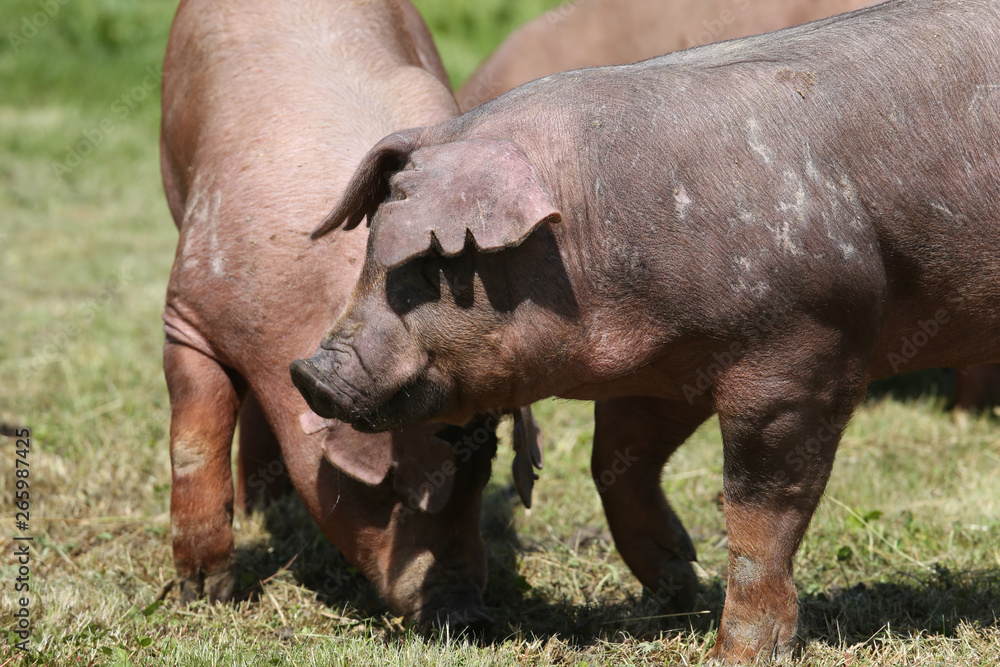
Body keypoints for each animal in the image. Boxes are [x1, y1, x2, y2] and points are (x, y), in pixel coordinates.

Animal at [160, 0, 517, 629]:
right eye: (395, 484)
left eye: (486, 465)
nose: (467, 614)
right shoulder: (190, 309)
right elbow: (196, 435)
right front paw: (206, 595)